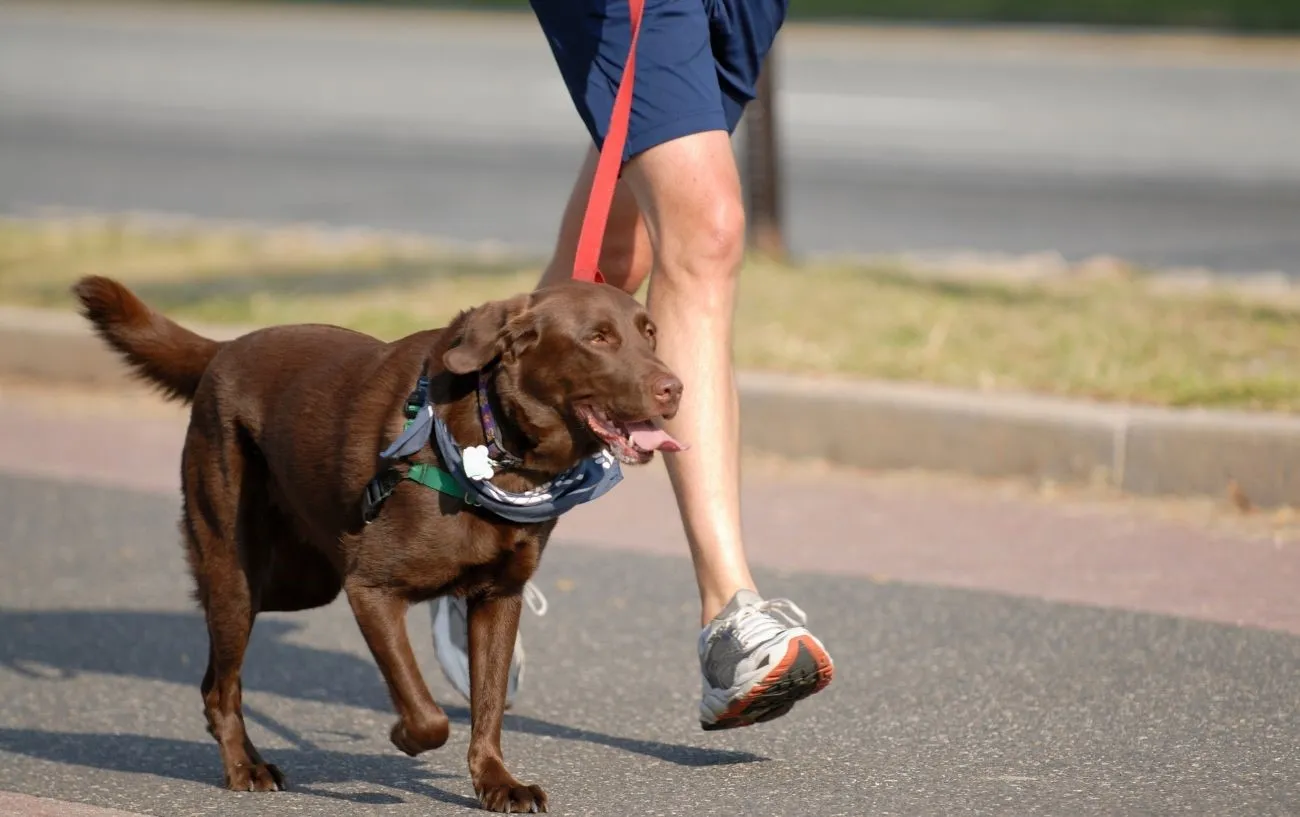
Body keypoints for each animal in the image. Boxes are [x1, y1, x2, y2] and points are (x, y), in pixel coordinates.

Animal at [72, 277, 686, 811]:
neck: (497, 446)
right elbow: (426, 711)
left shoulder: (498, 598)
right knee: (222, 682)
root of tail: (225, 349)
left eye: (650, 333)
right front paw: (404, 738)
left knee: (215, 678)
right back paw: (244, 769)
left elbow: (487, 707)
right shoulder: (370, 588)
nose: (675, 388)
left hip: (301, 581)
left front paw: (497, 784)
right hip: (238, 569)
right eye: (598, 338)